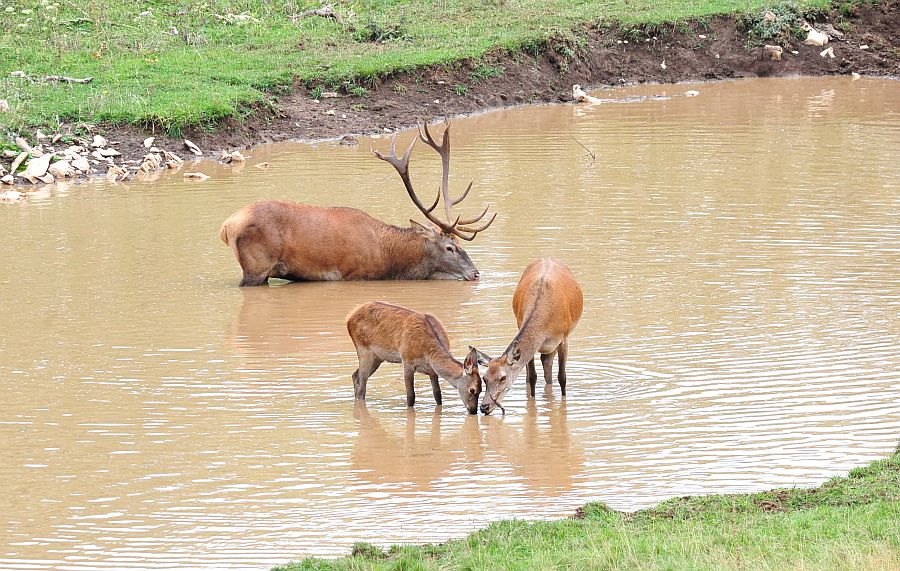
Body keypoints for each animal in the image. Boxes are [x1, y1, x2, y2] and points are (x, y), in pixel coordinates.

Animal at [221, 123, 496, 288]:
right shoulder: (354, 273)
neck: (388, 256)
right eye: (450, 248)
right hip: (256, 266)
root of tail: (226, 226)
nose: (476, 273)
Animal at [346, 302, 486, 414]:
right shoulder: (407, 360)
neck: (428, 353)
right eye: (472, 390)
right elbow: (410, 396)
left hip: (377, 357)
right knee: (362, 386)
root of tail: (349, 318)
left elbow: (438, 395)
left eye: (481, 389)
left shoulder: (432, 371)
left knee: (355, 375)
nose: (473, 411)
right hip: (364, 350)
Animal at [478, 260, 584, 416]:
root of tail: (548, 258)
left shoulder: (564, 338)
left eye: (503, 378)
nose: (484, 407)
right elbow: (533, 377)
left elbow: (562, 377)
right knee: (539, 367)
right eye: (484, 378)